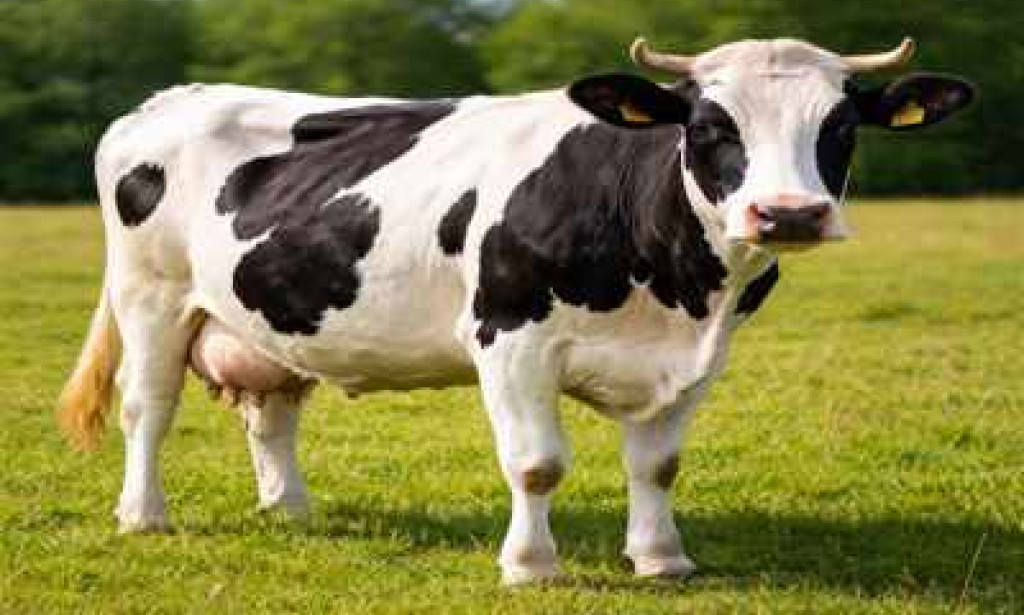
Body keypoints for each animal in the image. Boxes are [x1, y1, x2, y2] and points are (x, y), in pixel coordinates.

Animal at [58, 36, 973, 585]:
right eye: (712, 125)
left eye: (841, 125)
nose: (788, 214)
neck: (673, 284)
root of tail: (171, 96)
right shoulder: (510, 338)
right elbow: (537, 464)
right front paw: (532, 565)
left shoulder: (697, 360)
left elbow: (658, 466)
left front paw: (661, 558)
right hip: (150, 296)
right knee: (147, 408)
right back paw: (143, 516)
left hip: (268, 314)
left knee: (272, 411)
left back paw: (290, 507)